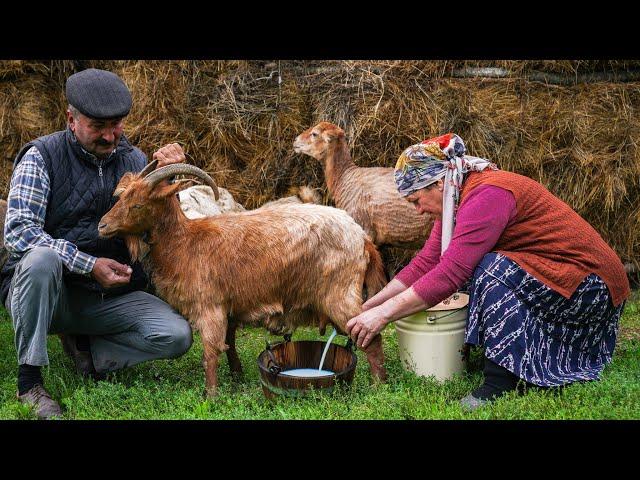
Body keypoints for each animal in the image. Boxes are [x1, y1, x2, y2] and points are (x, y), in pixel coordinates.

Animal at [98, 163, 388, 396]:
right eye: (120, 197)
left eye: (138, 204)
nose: (102, 225)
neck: (186, 243)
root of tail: (362, 238)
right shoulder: (228, 307)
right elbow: (230, 344)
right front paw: (236, 376)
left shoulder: (209, 306)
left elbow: (210, 352)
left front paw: (211, 395)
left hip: (339, 294)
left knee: (371, 336)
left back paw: (378, 386)